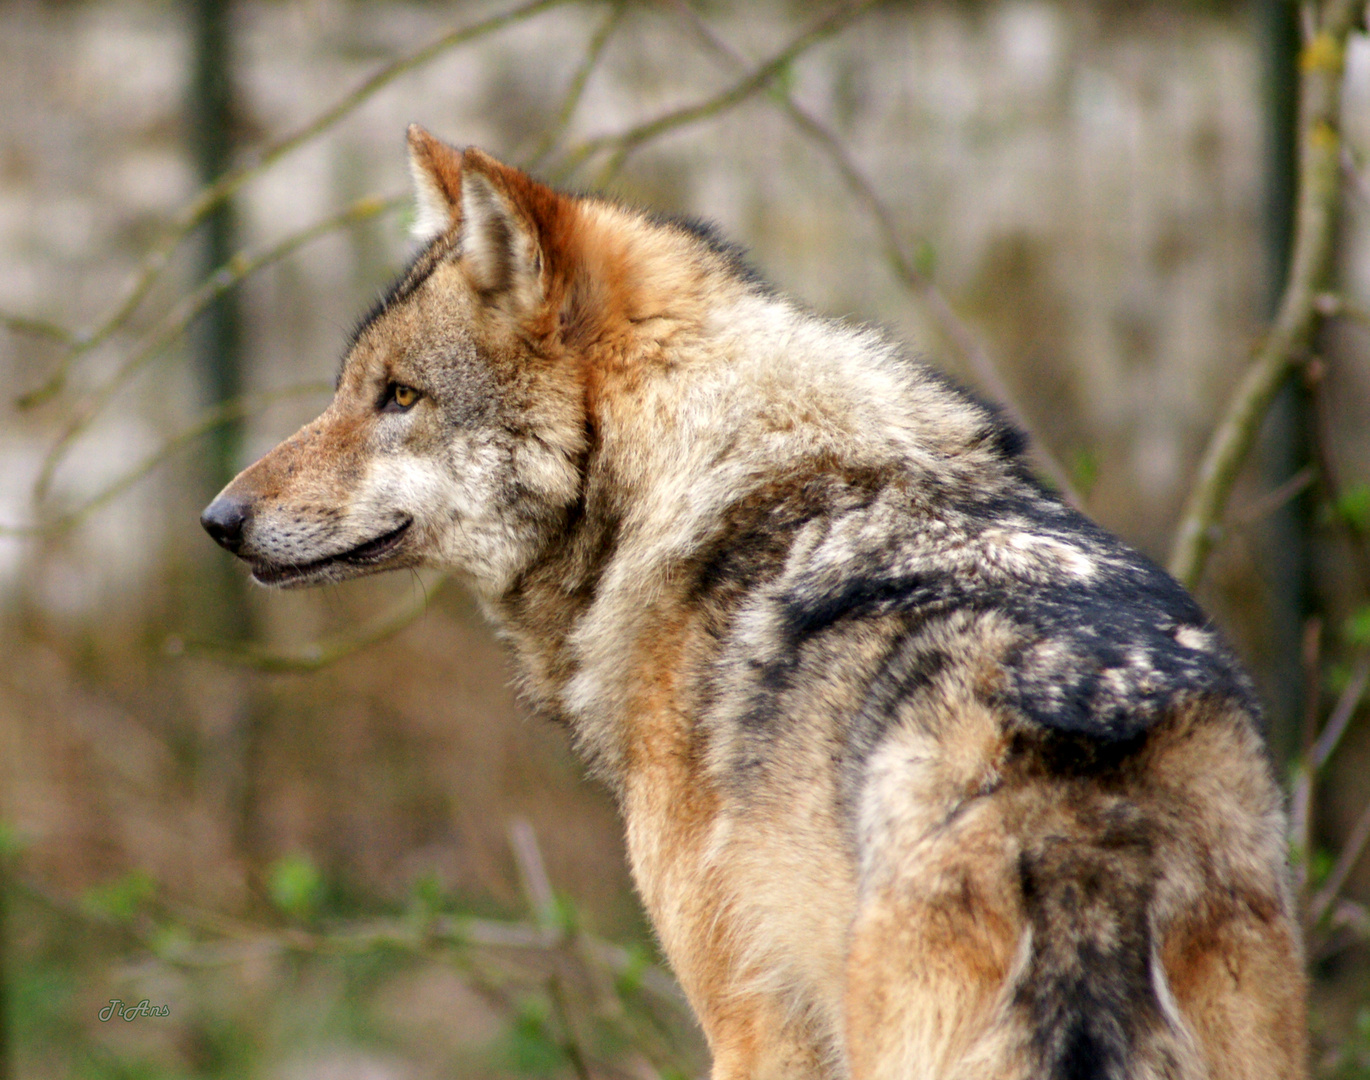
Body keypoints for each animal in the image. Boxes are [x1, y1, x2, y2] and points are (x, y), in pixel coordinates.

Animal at [200, 128, 1304, 1080]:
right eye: (351, 389)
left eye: (398, 397)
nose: (217, 518)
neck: (696, 478)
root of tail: (1090, 792)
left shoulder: (750, 1023)